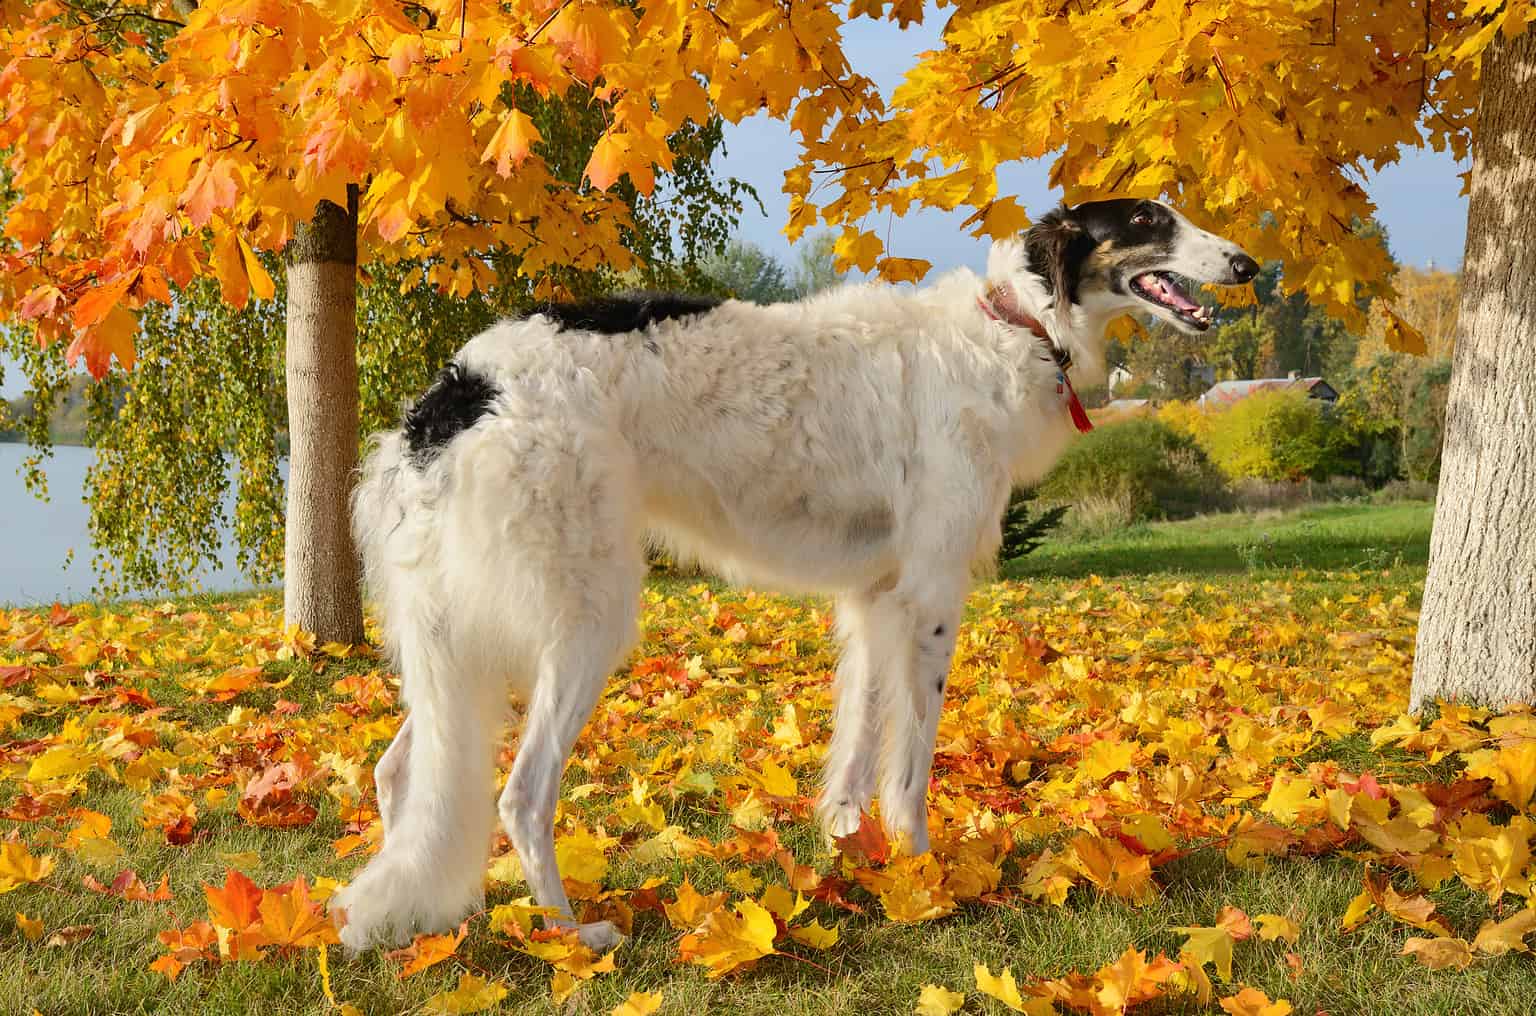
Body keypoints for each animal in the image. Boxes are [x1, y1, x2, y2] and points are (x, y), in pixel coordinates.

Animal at [330, 198, 1253, 952]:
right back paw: (570, 933)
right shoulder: (931, 595)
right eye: (1149, 222)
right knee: (520, 794)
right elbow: (910, 767)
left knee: (402, 773)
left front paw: (852, 853)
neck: (1009, 326)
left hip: (466, 644)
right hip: (583, 618)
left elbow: (856, 745)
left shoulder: (874, 597)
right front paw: (927, 874)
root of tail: (451, 395)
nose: (1247, 264)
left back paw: (435, 922)